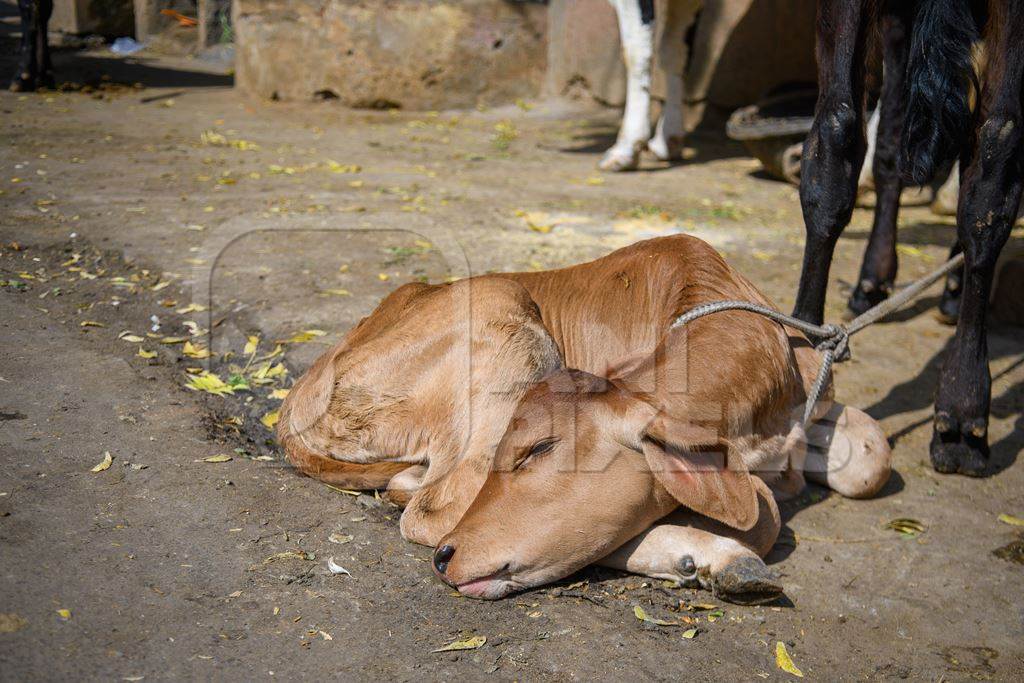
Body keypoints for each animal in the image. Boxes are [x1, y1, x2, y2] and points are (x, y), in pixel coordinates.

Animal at [278, 235, 888, 602]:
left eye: (540, 449)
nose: (451, 561)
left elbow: (872, 457)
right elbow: (763, 512)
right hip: (506, 315)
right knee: (433, 511)